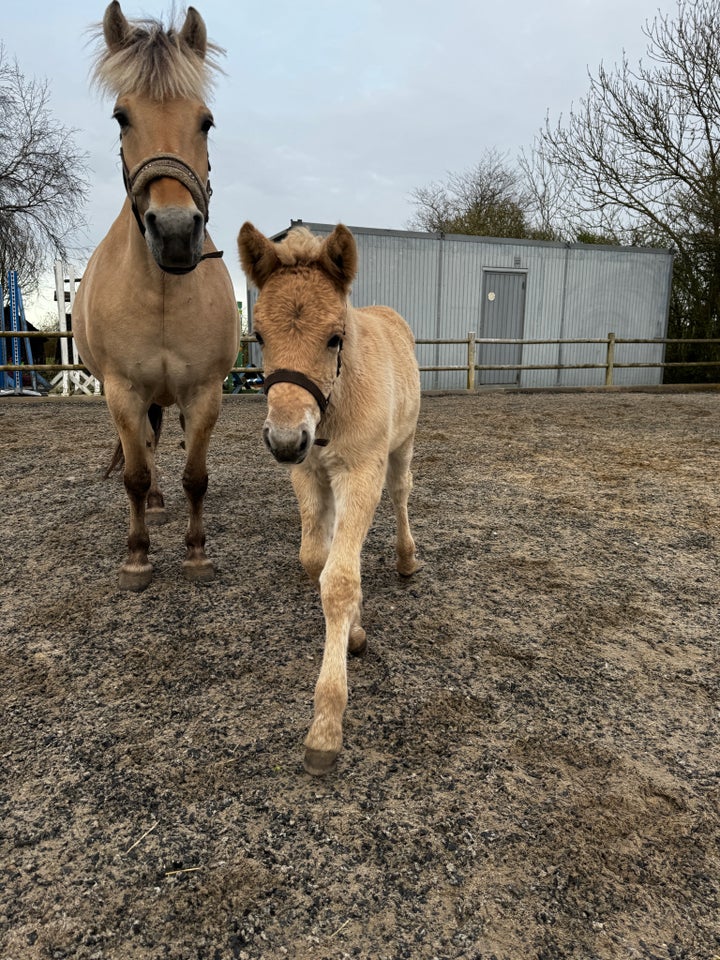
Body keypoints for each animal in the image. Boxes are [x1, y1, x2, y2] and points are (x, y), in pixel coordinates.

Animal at [75, 1, 240, 592]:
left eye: (206, 120)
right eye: (122, 117)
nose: (173, 232)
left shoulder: (205, 392)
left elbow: (197, 475)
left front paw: (195, 553)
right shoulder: (123, 392)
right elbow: (135, 474)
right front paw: (137, 557)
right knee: (144, 453)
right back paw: (155, 506)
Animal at [239, 223, 422, 772]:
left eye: (335, 338)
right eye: (260, 337)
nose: (283, 439)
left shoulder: (362, 471)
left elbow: (338, 582)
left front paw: (326, 724)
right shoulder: (309, 473)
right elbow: (315, 560)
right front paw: (356, 633)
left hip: (402, 444)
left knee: (401, 493)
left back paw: (406, 559)